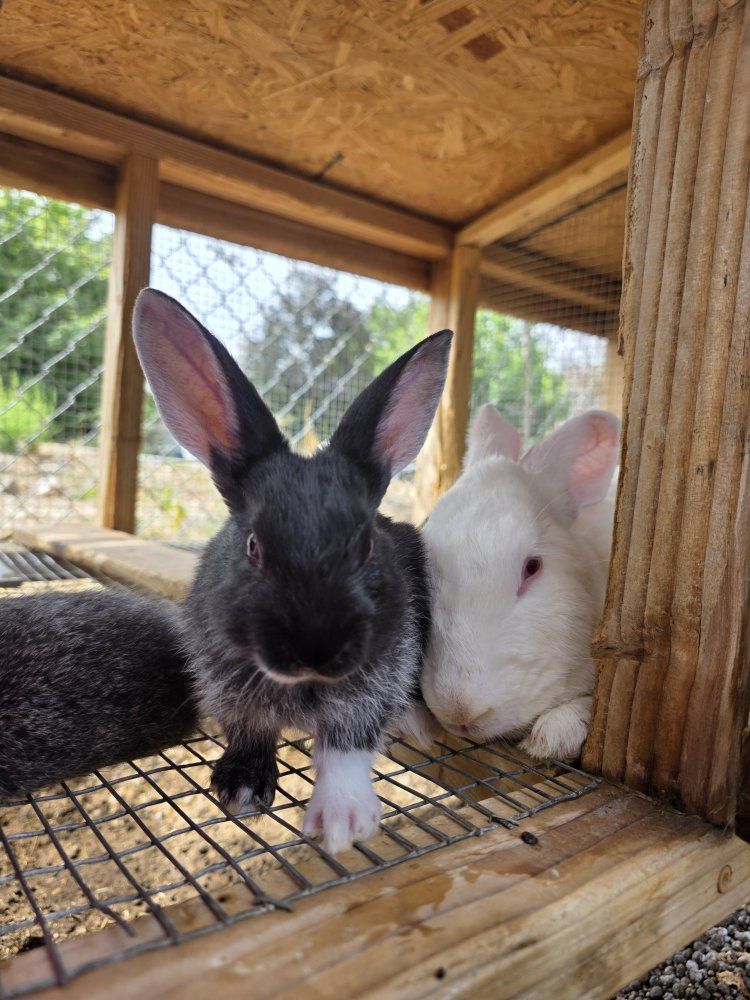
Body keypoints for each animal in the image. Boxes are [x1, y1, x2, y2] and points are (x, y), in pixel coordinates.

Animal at [132, 288, 452, 853]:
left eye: (366, 546)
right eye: (253, 546)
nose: (315, 650)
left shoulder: (373, 682)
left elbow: (348, 743)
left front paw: (343, 820)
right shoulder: (226, 686)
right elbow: (250, 730)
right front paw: (240, 787)